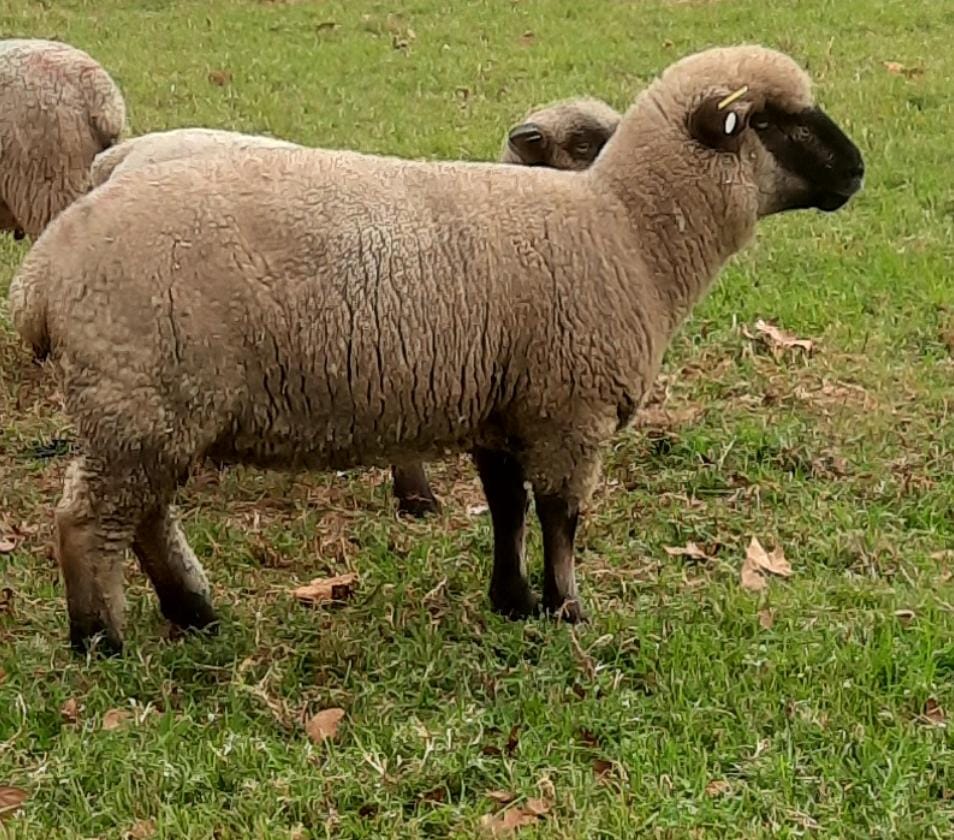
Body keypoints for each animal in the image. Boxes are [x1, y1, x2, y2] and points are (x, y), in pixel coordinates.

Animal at [11, 45, 864, 653]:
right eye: (779, 122)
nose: (858, 171)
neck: (626, 228)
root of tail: (42, 275)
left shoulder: (506, 407)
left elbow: (507, 509)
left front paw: (511, 602)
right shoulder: (570, 410)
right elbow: (563, 517)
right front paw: (568, 609)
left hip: (149, 404)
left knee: (142, 516)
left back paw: (193, 612)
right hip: (139, 395)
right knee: (87, 523)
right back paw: (99, 640)